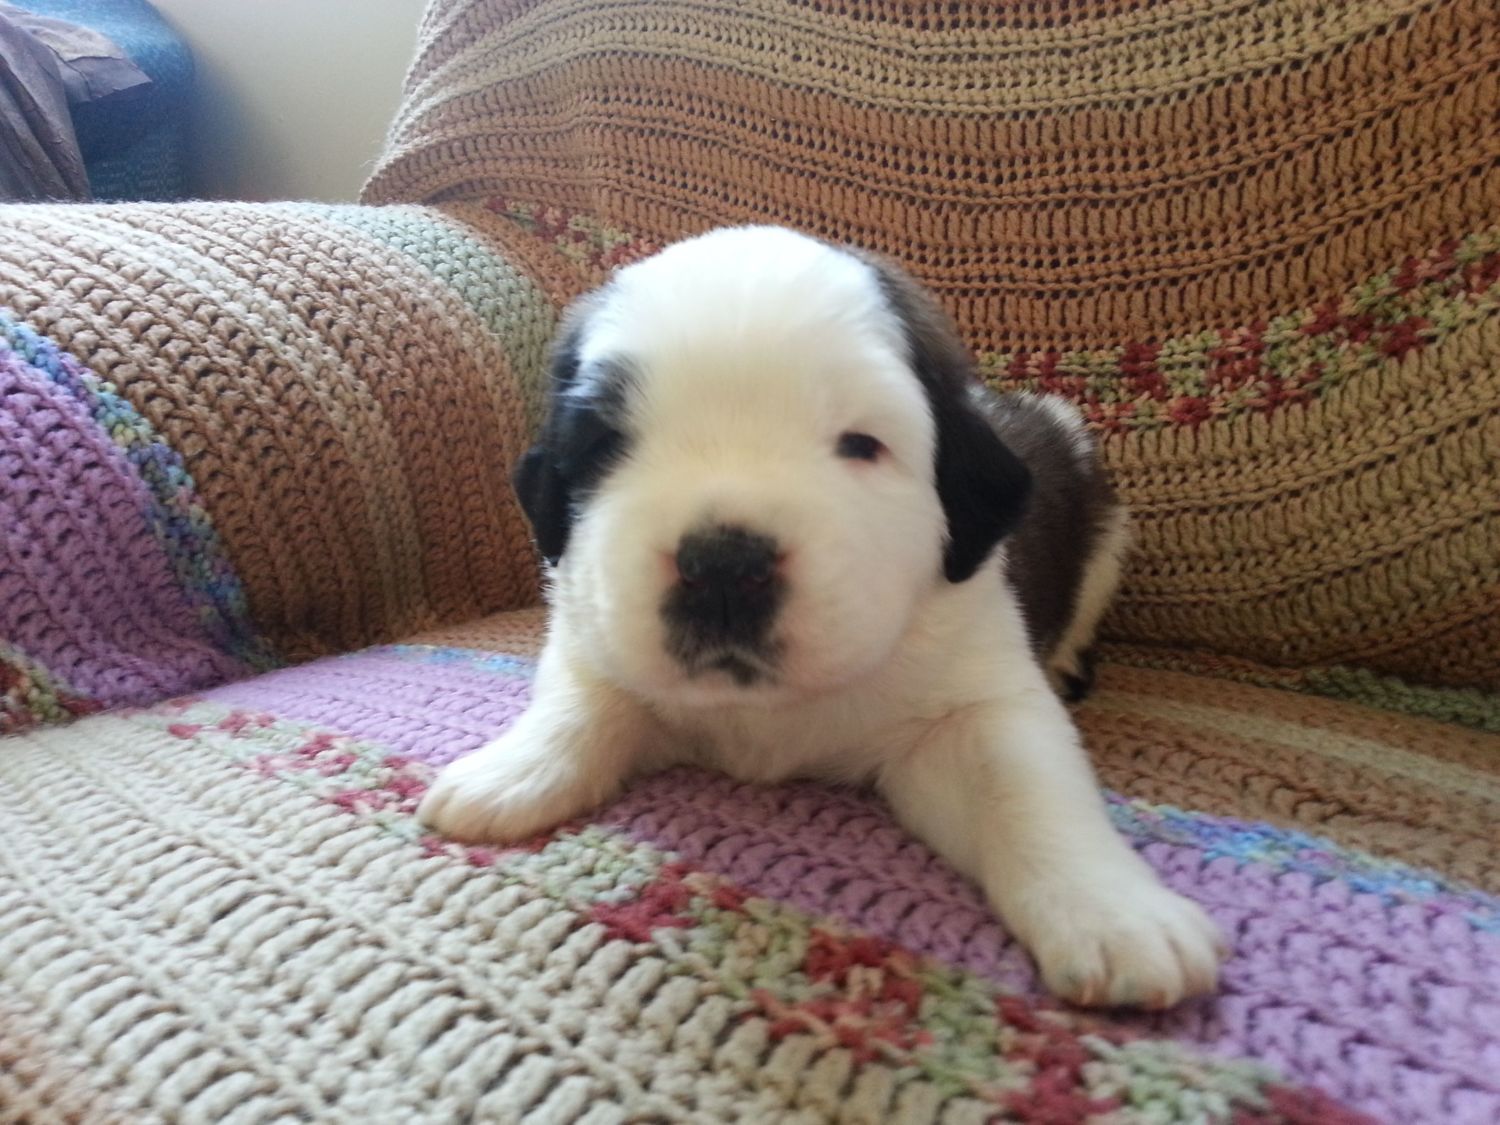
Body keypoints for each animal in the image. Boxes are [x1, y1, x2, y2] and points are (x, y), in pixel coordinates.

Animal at [418, 226, 1226, 1009]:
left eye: (861, 444)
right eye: (606, 447)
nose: (723, 563)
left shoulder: (970, 694)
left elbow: (1024, 785)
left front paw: (1115, 915)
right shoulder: (588, 614)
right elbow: (583, 697)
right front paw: (511, 772)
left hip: (1104, 525)